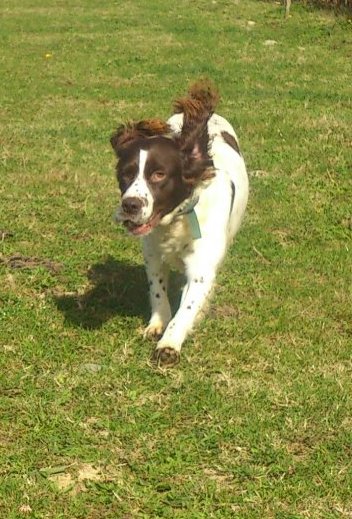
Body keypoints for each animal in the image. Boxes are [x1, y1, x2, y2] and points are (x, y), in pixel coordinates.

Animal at [111, 80, 249, 366]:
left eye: (159, 174)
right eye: (125, 174)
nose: (130, 205)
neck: (176, 220)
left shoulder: (202, 266)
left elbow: (188, 305)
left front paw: (170, 343)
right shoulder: (151, 253)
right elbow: (157, 289)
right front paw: (157, 323)